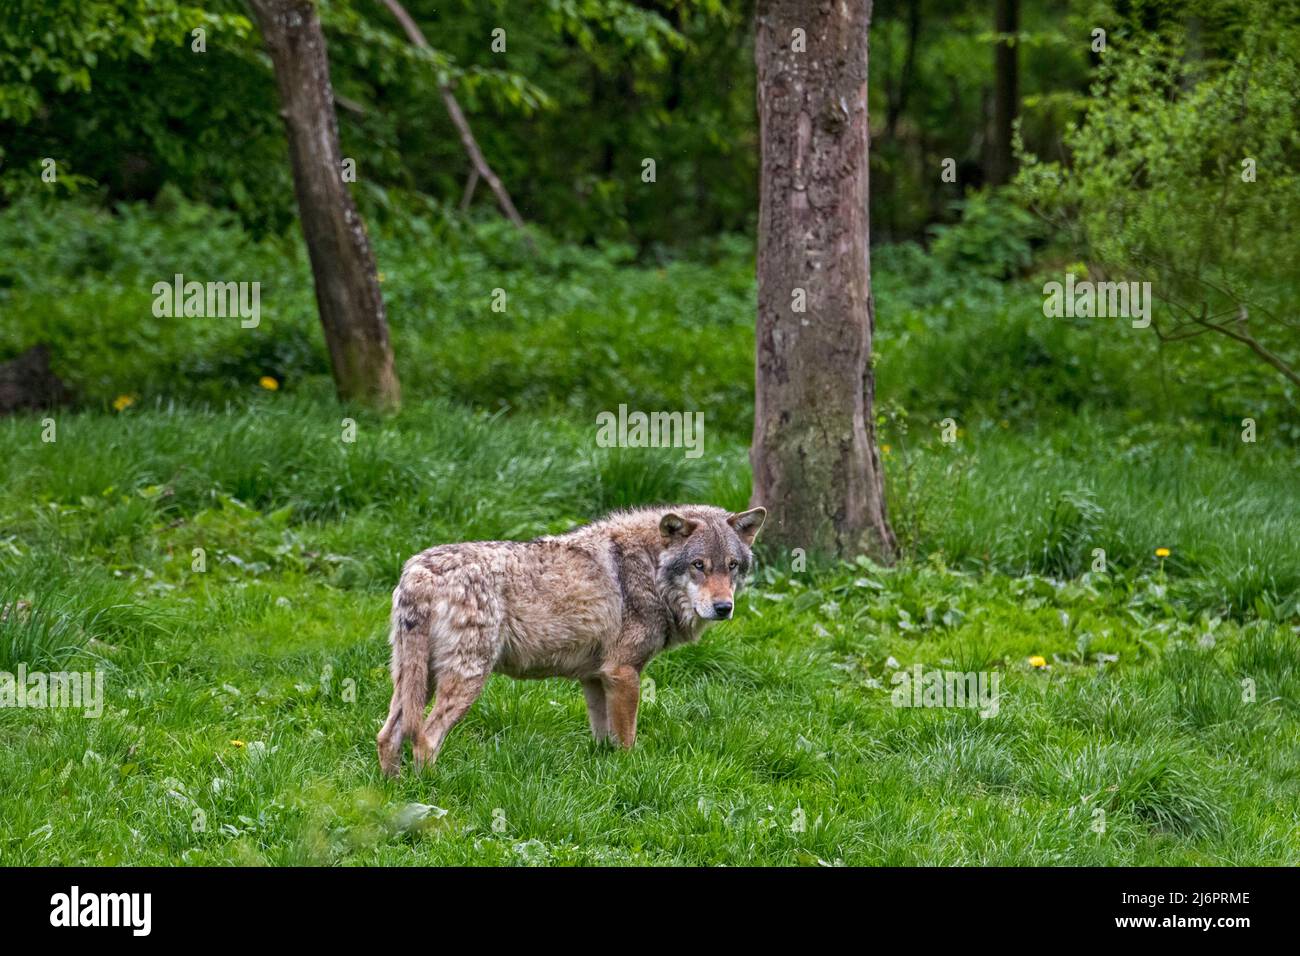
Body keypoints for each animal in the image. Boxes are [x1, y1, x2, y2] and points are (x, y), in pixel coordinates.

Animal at [377, 504, 759, 775]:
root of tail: (419, 573)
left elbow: (604, 738)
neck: (650, 570)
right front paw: (629, 774)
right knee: (425, 738)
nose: (724, 607)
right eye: (698, 565)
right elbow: (627, 741)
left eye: (732, 565)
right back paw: (432, 795)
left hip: (416, 681)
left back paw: (394, 792)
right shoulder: (624, 673)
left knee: (387, 736)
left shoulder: (595, 678)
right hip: (466, 679)